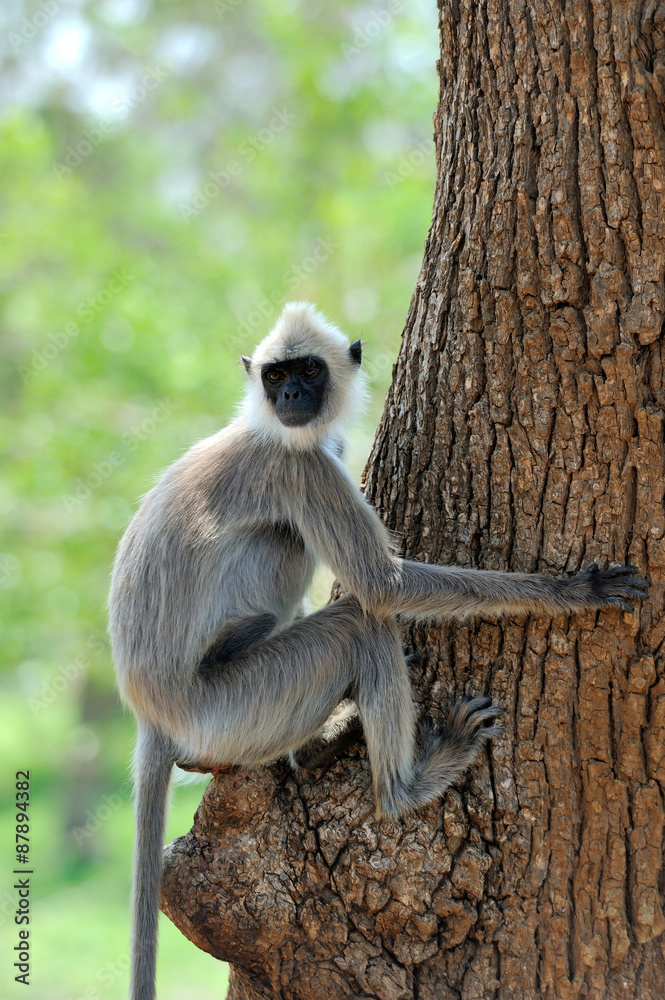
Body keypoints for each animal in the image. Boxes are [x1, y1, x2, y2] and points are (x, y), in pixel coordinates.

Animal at [110, 300, 648, 996]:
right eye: (276, 375)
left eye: (308, 370)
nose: (291, 395)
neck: (266, 428)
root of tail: (150, 708)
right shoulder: (303, 466)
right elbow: (382, 588)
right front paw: (575, 591)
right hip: (227, 707)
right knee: (354, 623)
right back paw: (406, 789)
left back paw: (319, 745)